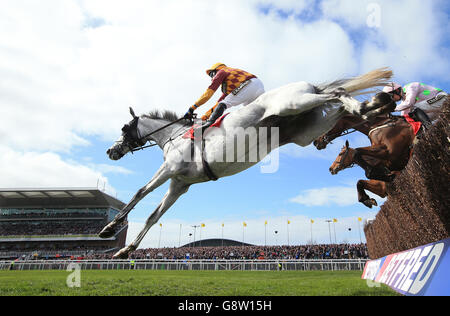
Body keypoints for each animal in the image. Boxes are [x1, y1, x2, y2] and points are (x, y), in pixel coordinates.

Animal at [99, 68, 394, 258]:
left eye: (124, 128)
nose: (110, 151)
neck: (173, 135)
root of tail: (309, 85)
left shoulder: (168, 169)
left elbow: (139, 192)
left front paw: (110, 227)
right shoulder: (179, 185)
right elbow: (153, 216)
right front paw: (125, 250)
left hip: (294, 102)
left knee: (339, 92)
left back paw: (375, 103)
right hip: (309, 130)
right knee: (341, 106)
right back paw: (373, 105)